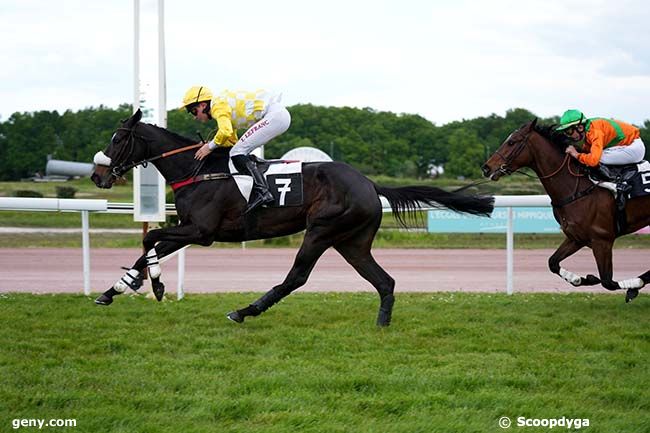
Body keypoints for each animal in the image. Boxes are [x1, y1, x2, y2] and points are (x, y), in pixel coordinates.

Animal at [88, 109, 488, 326]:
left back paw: (244, 311)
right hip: (352, 241)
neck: (197, 169)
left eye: (118, 139)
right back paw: (382, 324)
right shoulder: (190, 229)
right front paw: (117, 289)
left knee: (297, 276)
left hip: (321, 231)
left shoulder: (201, 231)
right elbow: (149, 244)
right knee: (384, 281)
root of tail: (369, 183)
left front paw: (152, 285)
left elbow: (151, 238)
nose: (97, 175)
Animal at [480, 118, 648, 300]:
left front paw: (635, 286)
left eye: (511, 142)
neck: (578, 189)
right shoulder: (576, 237)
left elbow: (608, 282)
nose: (486, 168)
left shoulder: (602, 240)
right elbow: (553, 262)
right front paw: (582, 279)